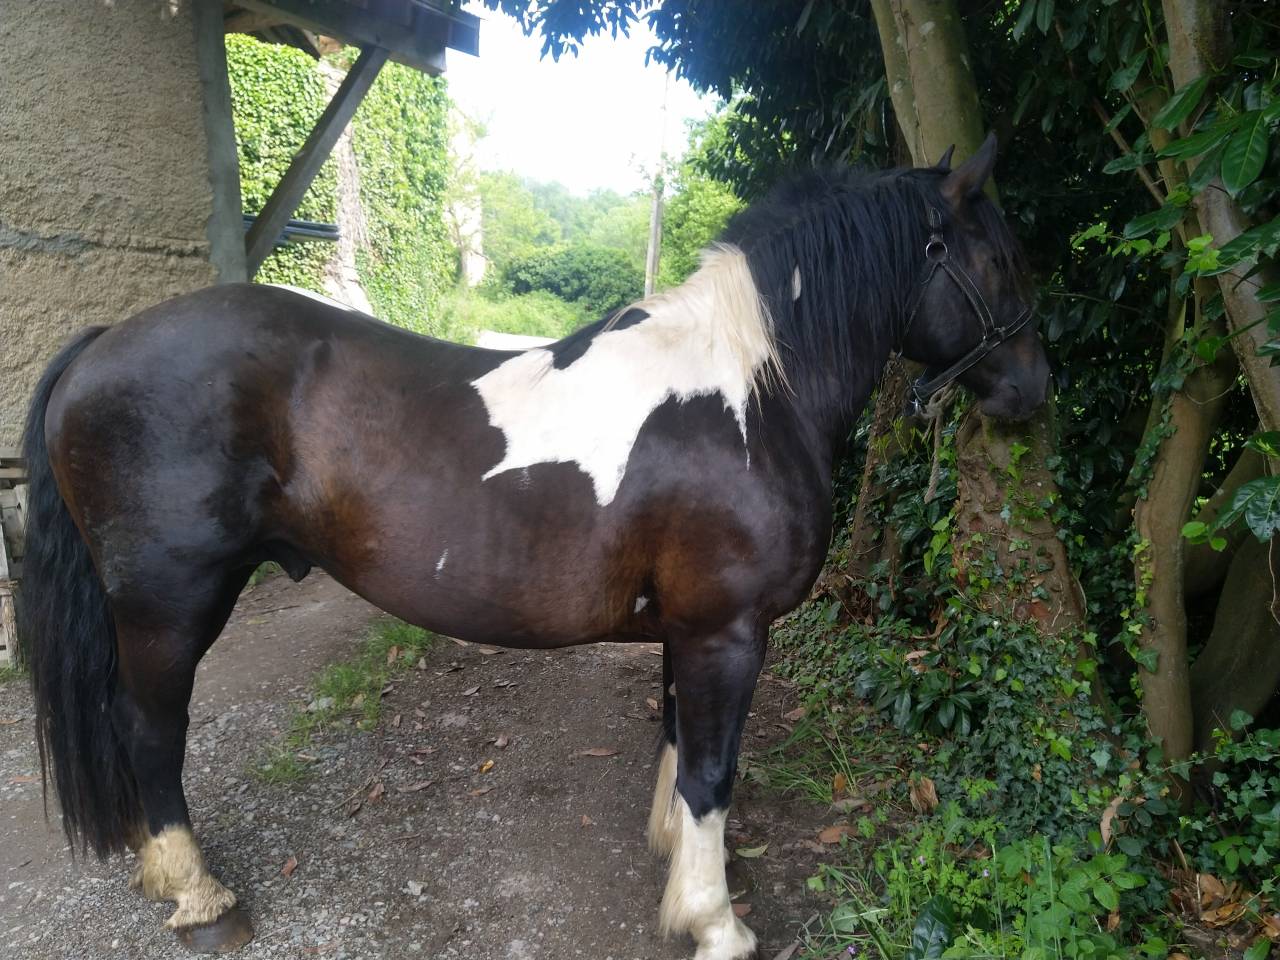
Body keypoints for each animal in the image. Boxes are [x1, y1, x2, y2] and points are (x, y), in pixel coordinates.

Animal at [18, 134, 1048, 959]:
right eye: (1000, 259)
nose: (1035, 389)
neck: (747, 398)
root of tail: (104, 343)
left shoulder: (688, 630)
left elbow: (677, 746)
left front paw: (676, 870)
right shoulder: (727, 631)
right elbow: (711, 772)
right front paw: (716, 921)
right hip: (170, 604)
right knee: (152, 732)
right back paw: (200, 897)